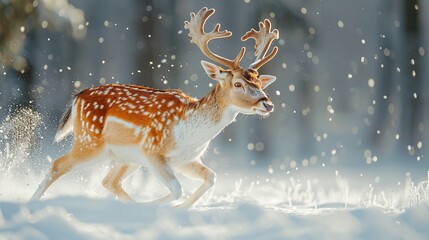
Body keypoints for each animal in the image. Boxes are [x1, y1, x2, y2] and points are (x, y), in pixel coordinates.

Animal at [29, 7, 278, 208]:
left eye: (258, 82)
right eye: (238, 84)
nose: (267, 103)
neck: (190, 130)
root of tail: (77, 97)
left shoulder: (186, 159)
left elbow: (212, 177)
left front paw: (179, 209)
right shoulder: (153, 151)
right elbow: (177, 189)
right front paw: (155, 207)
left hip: (124, 155)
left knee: (109, 181)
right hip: (91, 142)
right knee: (58, 164)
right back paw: (31, 203)